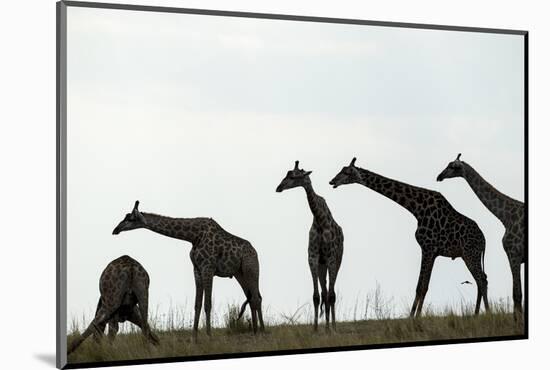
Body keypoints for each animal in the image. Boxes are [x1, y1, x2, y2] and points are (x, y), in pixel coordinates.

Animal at [112, 199, 266, 338]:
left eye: (130, 218)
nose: (115, 230)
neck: (193, 236)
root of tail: (255, 251)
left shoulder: (208, 268)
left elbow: (207, 304)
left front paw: (209, 336)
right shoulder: (197, 270)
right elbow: (197, 304)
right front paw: (194, 337)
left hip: (251, 269)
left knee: (257, 298)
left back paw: (262, 332)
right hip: (239, 273)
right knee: (252, 297)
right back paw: (255, 331)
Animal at [276, 160, 344, 330]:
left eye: (293, 176)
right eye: (287, 174)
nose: (278, 187)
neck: (319, 220)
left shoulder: (331, 258)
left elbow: (331, 295)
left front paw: (331, 328)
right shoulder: (313, 258)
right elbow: (316, 296)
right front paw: (315, 328)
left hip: (337, 261)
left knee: (332, 293)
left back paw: (332, 325)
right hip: (322, 265)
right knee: (325, 293)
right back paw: (326, 325)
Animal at [330, 158, 490, 316]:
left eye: (346, 172)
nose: (332, 181)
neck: (416, 208)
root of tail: (484, 240)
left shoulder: (427, 248)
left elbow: (420, 286)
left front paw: (413, 316)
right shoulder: (433, 252)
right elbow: (424, 286)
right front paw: (416, 315)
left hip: (470, 253)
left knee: (482, 280)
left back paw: (487, 312)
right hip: (466, 255)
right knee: (481, 279)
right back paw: (476, 313)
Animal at [440, 153, 528, 316]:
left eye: (452, 166)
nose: (439, 176)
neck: (505, 217)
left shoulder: (514, 254)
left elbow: (517, 294)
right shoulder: (516, 257)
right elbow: (518, 294)